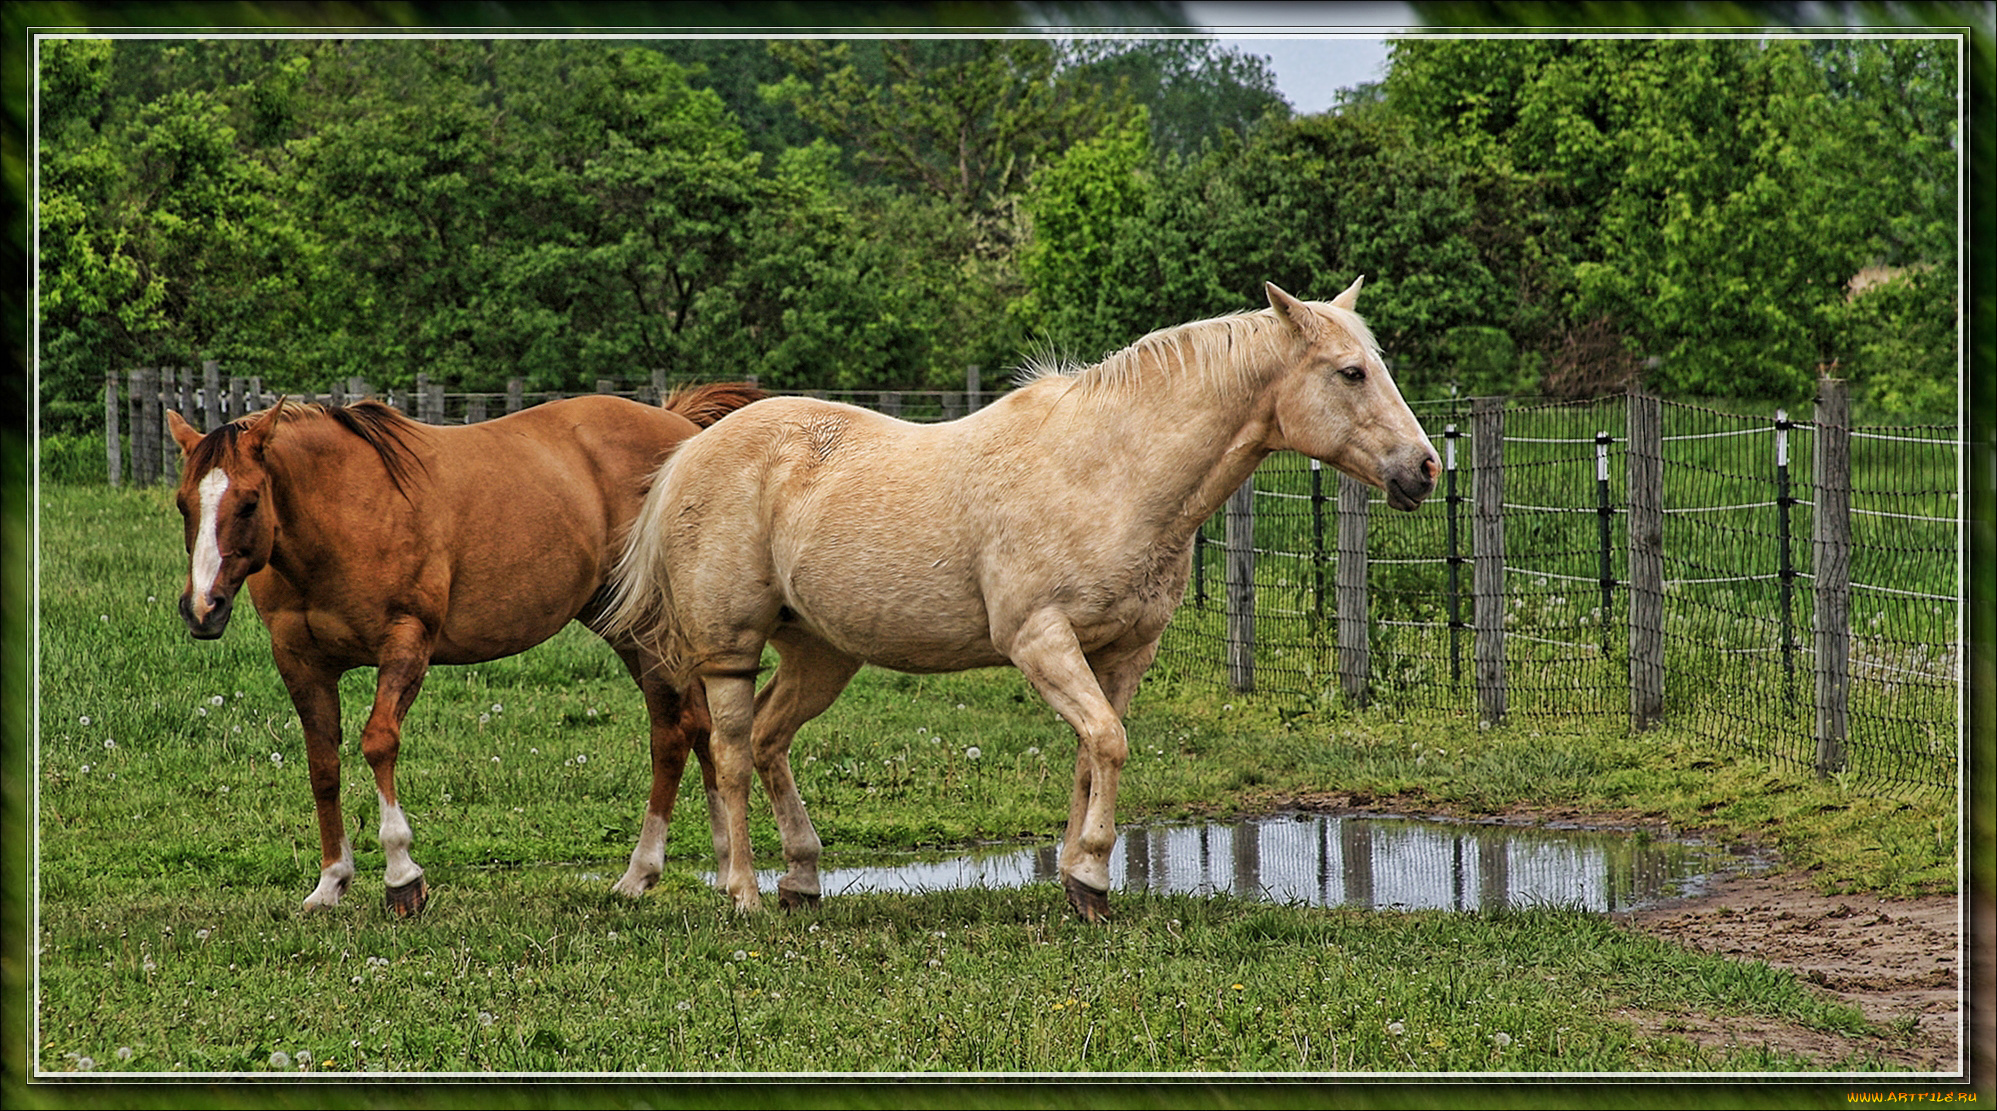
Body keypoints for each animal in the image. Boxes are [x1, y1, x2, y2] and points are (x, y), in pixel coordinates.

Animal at [169, 385, 762, 915]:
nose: (203, 607)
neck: (341, 516)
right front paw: (332, 881)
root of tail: (684, 429)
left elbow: (378, 743)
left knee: (673, 732)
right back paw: (711, 866)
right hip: (628, 625)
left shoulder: (406, 641)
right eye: (183, 504)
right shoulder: (301, 661)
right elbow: (323, 765)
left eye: (249, 502)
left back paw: (649, 870)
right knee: (694, 727)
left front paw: (402, 877)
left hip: (651, 628)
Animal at [599, 281, 1445, 923]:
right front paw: (1093, 874)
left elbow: (1089, 754)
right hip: (729, 651)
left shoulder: (1121, 651)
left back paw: (802, 879)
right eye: (1349, 372)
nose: (1425, 468)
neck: (1110, 471)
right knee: (731, 754)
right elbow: (1107, 743)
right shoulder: (1039, 638)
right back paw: (741, 891)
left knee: (771, 740)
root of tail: (688, 451)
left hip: (822, 653)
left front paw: (1078, 880)